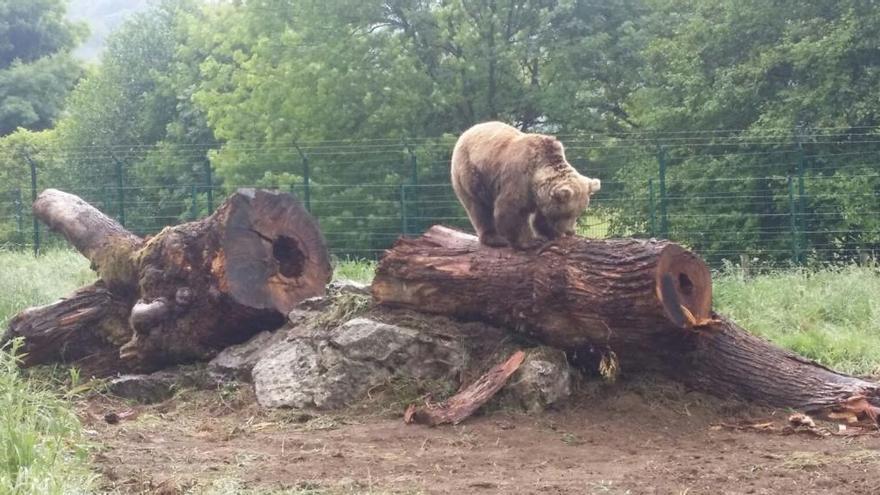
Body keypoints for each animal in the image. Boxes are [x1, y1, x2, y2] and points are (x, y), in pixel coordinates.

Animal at [450, 122, 600, 250]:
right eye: (568, 213)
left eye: (579, 212)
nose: (570, 231)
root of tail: (468, 131)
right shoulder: (518, 178)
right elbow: (511, 210)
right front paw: (530, 242)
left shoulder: (540, 196)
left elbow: (542, 216)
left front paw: (550, 233)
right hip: (471, 174)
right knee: (478, 207)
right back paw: (494, 239)